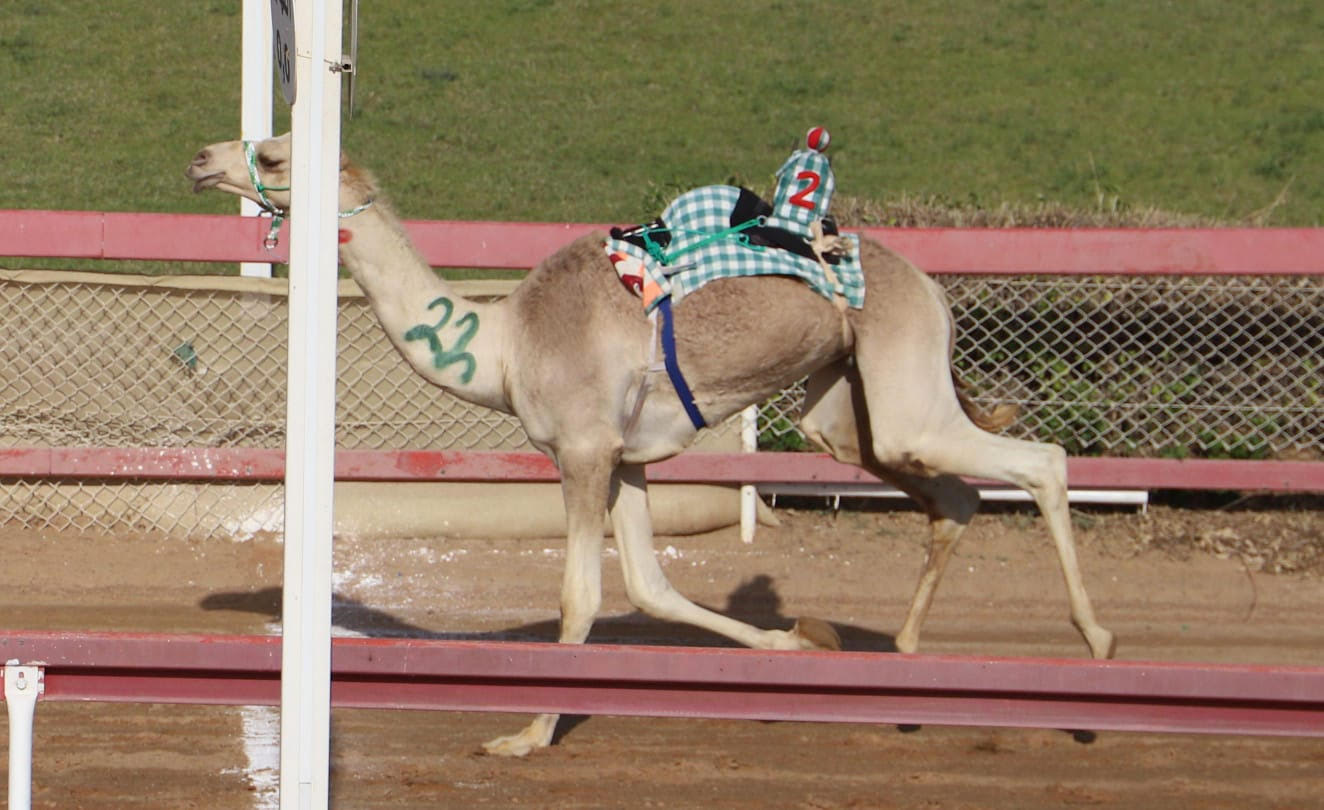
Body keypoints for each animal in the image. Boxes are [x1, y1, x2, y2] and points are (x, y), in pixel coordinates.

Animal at [186, 134, 1117, 757]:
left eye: (273, 156)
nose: (202, 158)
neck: (507, 346)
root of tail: (928, 280)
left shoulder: (584, 451)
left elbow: (582, 597)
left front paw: (525, 734)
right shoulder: (627, 461)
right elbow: (651, 588)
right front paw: (799, 642)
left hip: (903, 377)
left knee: (1040, 463)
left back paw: (1099, 653)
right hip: (846, 410)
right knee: (950, 491)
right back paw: (907, 665)